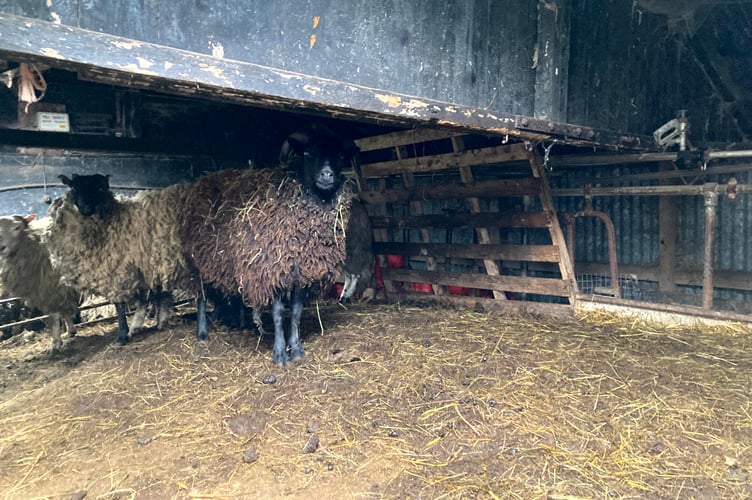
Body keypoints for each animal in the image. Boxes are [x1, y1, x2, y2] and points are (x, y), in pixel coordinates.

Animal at [0, 213, 78, 354]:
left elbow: (54, 317)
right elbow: (64, 311)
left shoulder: (50, 287)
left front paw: (55, 344)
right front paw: (70, 332)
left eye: (17, 227)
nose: (1, 248)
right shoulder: (56, 291)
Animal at [46, 173, 201, 344]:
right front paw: (144, 323)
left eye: (100, 188)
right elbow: (148, 296)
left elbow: (120, 304)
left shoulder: (118, 271)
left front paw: (123, 334)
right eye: (74, 187)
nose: (86, 208)